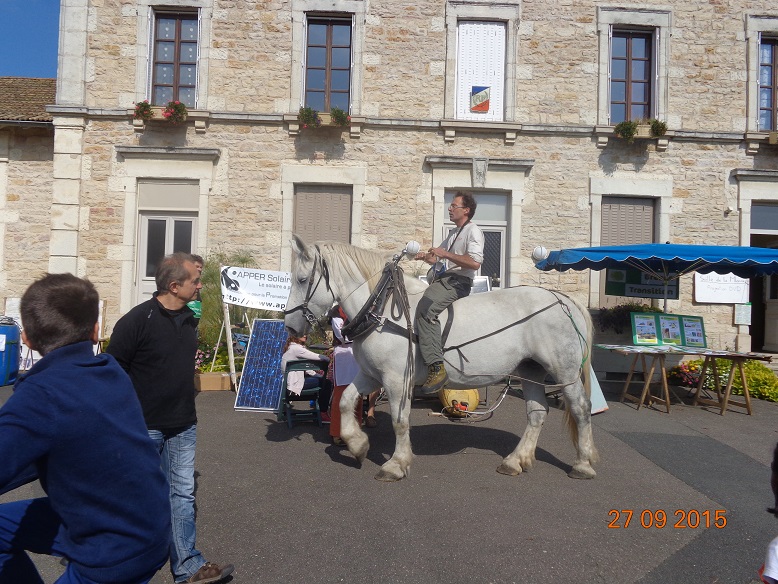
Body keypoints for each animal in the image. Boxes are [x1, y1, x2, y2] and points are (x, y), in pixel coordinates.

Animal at [282, 235, 596, 482]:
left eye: (301, 279)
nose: (290, 326)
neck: (381, 306)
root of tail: (562, 299)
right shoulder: (372, 375)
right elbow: (346, 401)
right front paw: (357, 445)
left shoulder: (396, 379)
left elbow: (400, 420)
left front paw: (396, 464)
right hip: (530, 371)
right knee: (537, 413)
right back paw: (515, 460)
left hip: (564, 373)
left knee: (581, 408)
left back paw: (583, 464)